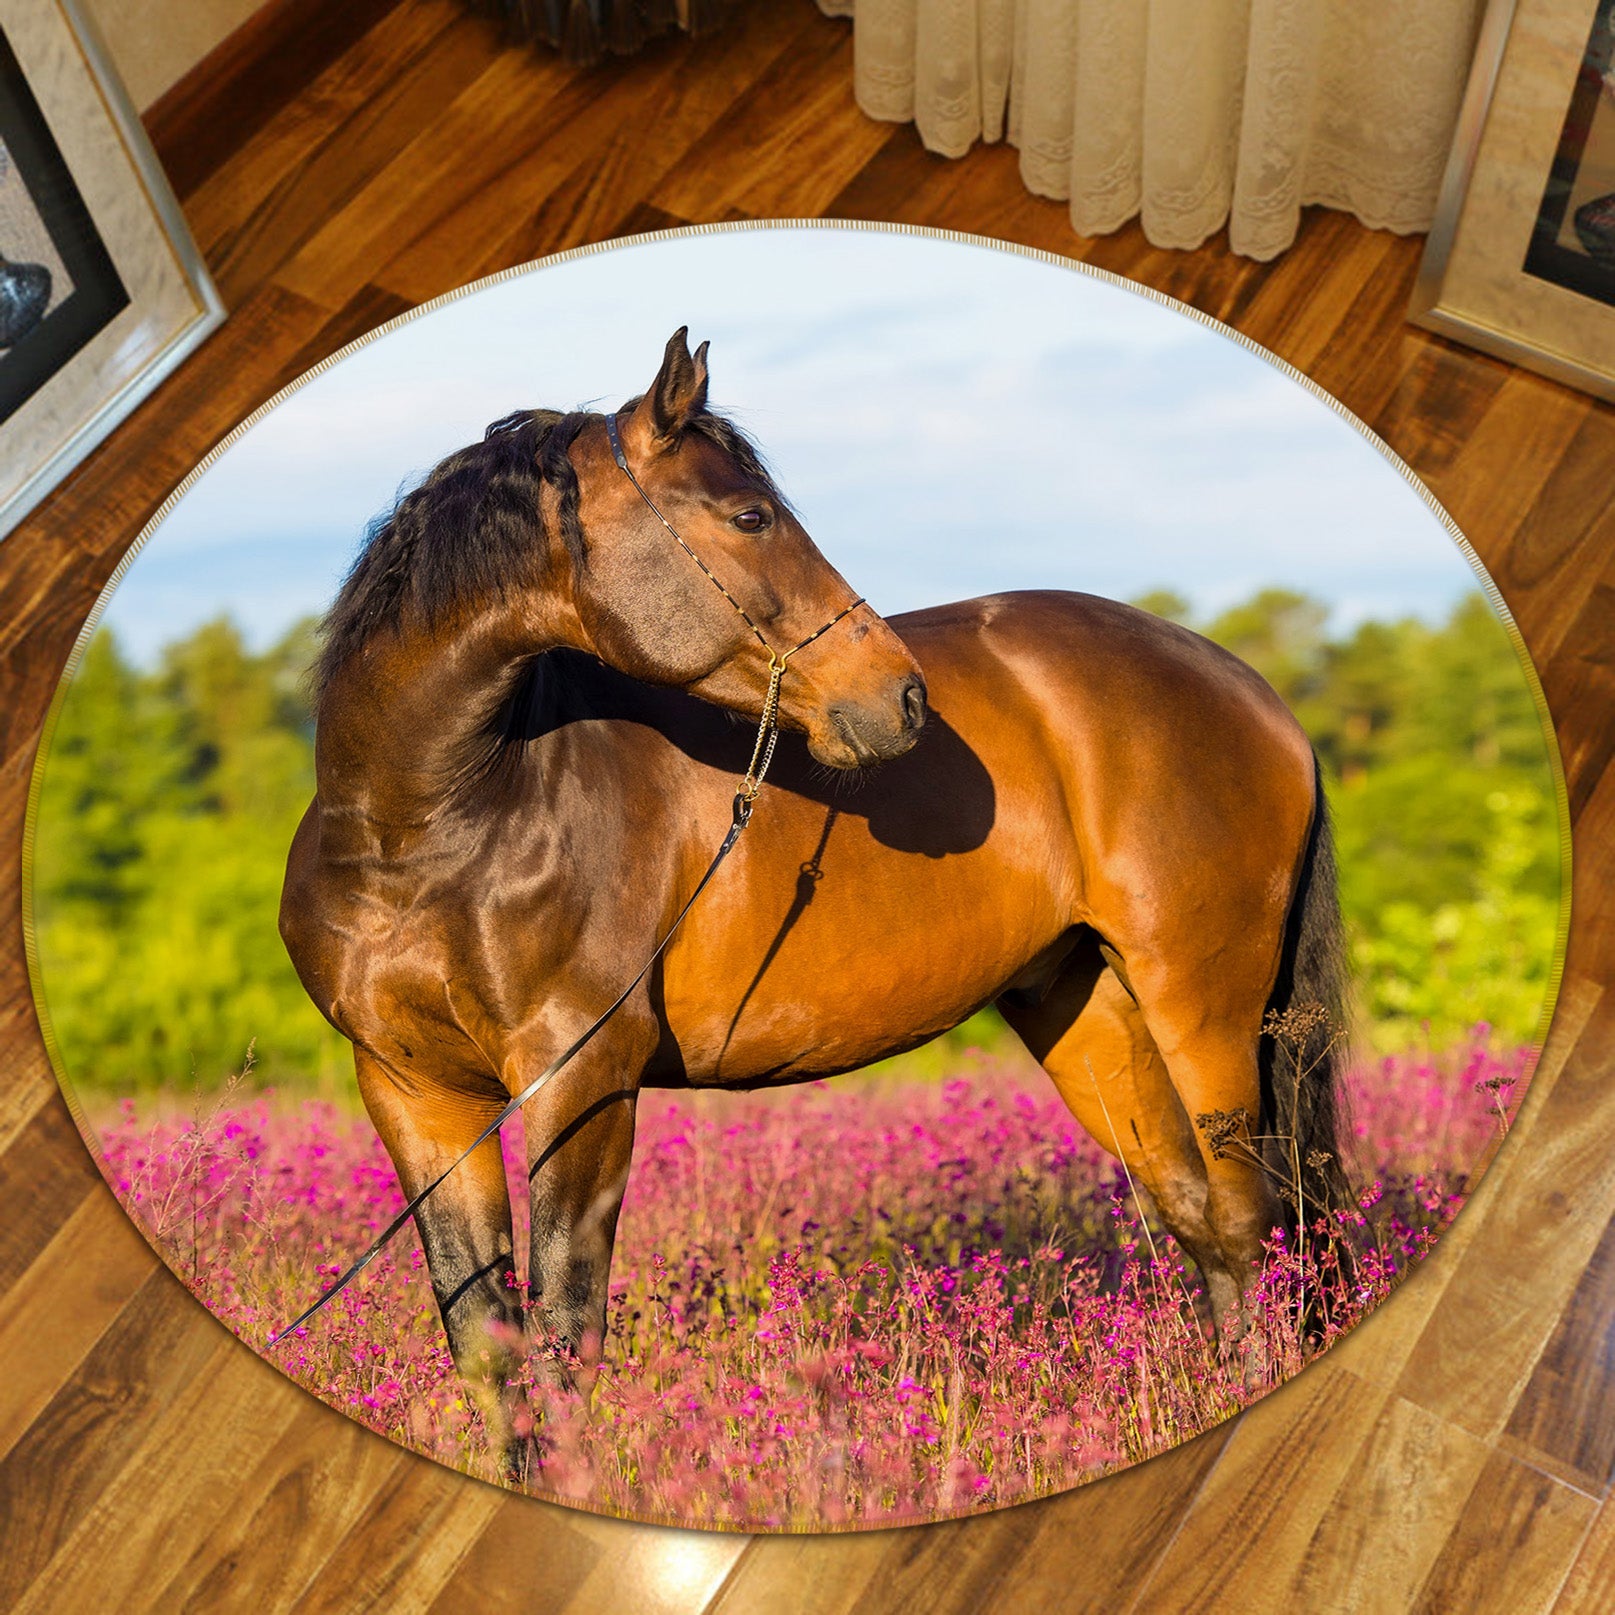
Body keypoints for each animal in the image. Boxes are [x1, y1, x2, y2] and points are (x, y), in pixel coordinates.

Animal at [280, 328, 1351, 1469]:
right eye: (750, 514)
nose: (902, 696)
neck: (432, 823)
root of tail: (1249, 688)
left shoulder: (584, 1082)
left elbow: (565, 1329)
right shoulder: (415, 1095)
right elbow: (489, 1340)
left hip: (1203, 1006)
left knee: (1251, 1223)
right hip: (1087, 1010)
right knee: (1203, 1224)